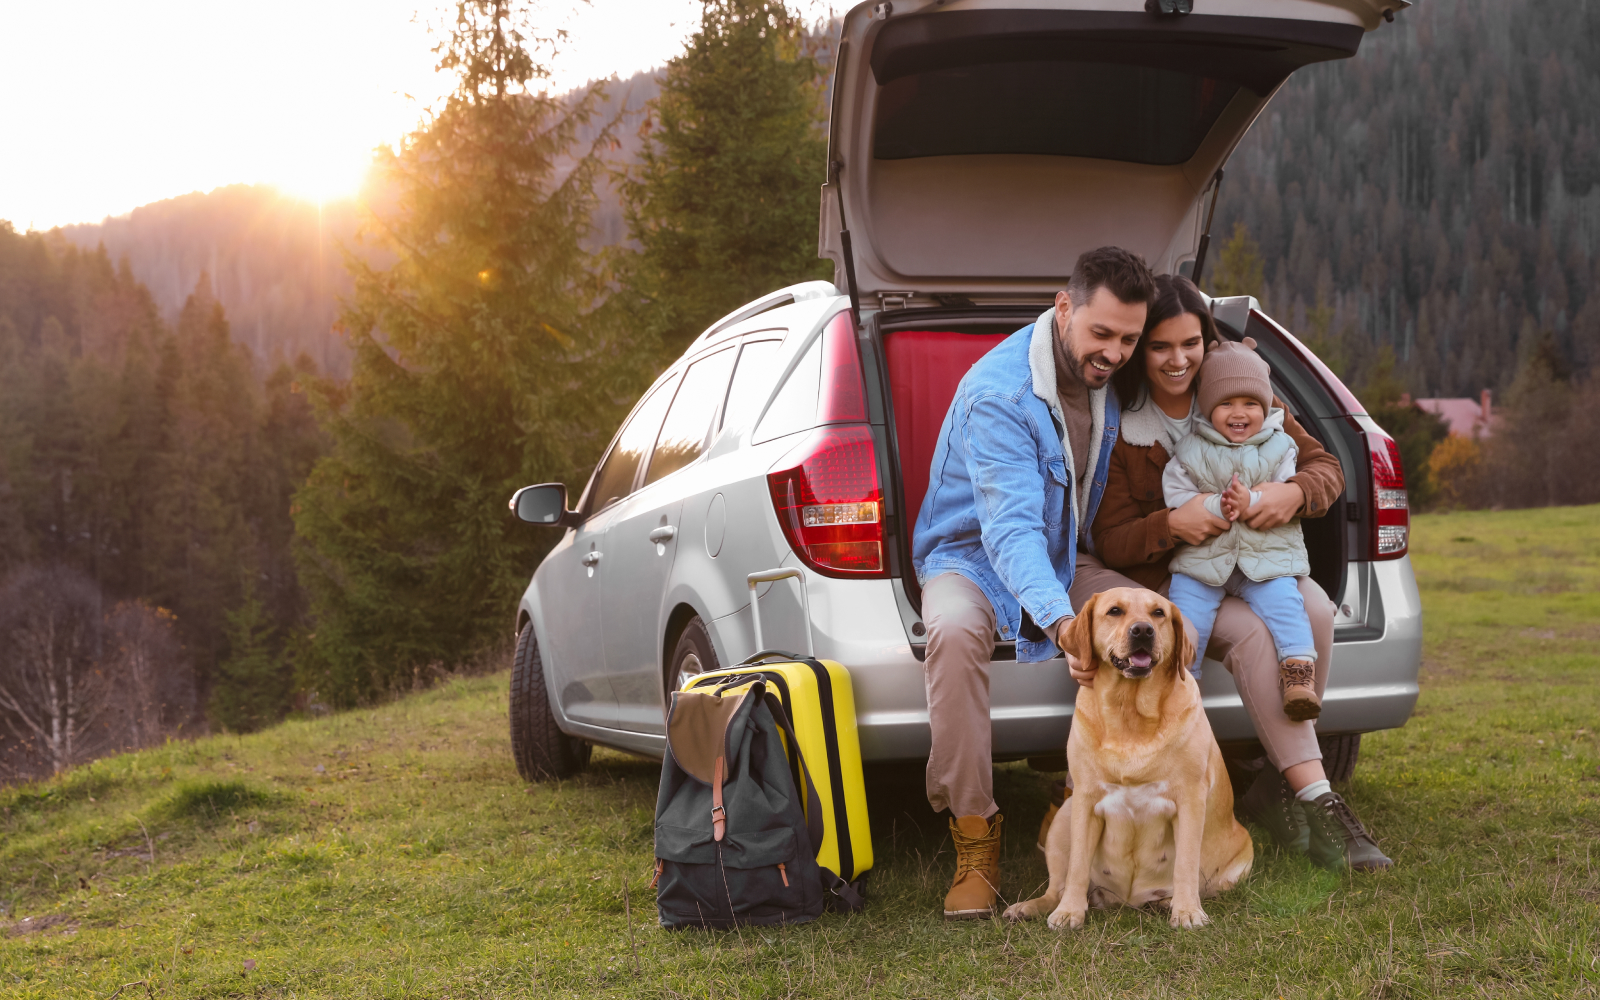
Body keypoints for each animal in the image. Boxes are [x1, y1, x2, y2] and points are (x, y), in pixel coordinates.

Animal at [998, 585, 1248, 928]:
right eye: (1115, 611)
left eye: (1159, 613)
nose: (1143, 630)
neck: (1130, 712)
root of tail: (1128, 900)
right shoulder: (1085, 799)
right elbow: (1077, 867)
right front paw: (1069, 911)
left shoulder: (1190, 799)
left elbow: (1185, 863)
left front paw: (1187, 911)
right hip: (1064, 816)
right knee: (1056, 886)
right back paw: (1032, 906)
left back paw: (1167, 902)